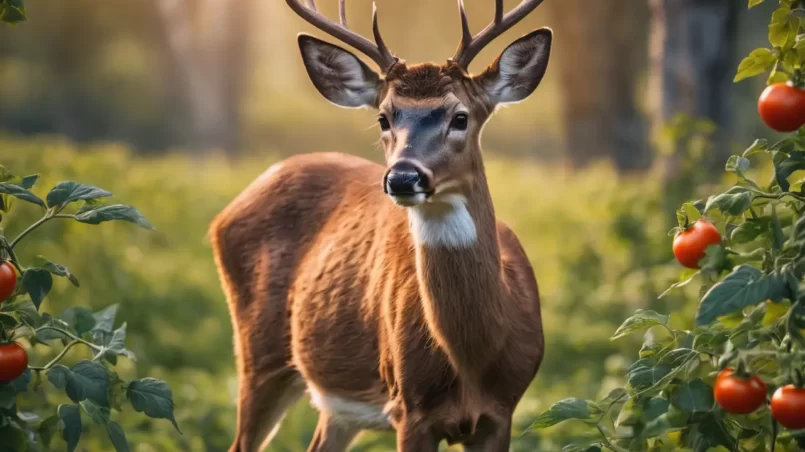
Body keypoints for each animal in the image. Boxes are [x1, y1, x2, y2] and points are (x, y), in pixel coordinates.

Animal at [207, 1, 548, 450]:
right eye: (384, 118)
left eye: (460, 117)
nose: (403, 177)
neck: (473, 358)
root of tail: (225, 214)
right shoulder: (411, 409)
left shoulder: (502, 412)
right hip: (258, 354)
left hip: (335, 403)